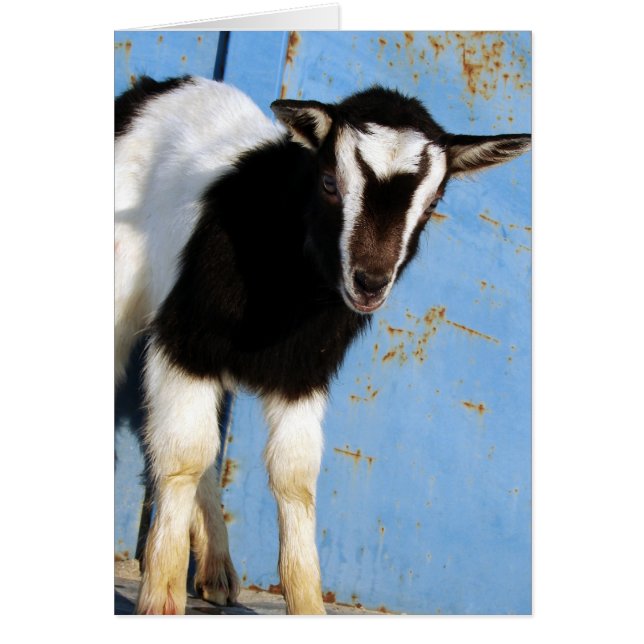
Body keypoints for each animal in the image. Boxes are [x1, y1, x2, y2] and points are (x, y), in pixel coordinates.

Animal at [114, 75, 531, 615]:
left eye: (433, 203)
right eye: (330, 182)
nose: (370, 282)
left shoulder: (302, 373)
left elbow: (294, 475)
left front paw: (309, 602)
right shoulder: (188, 338)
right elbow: (185, 453)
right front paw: (161, 598)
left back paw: (218, 569)